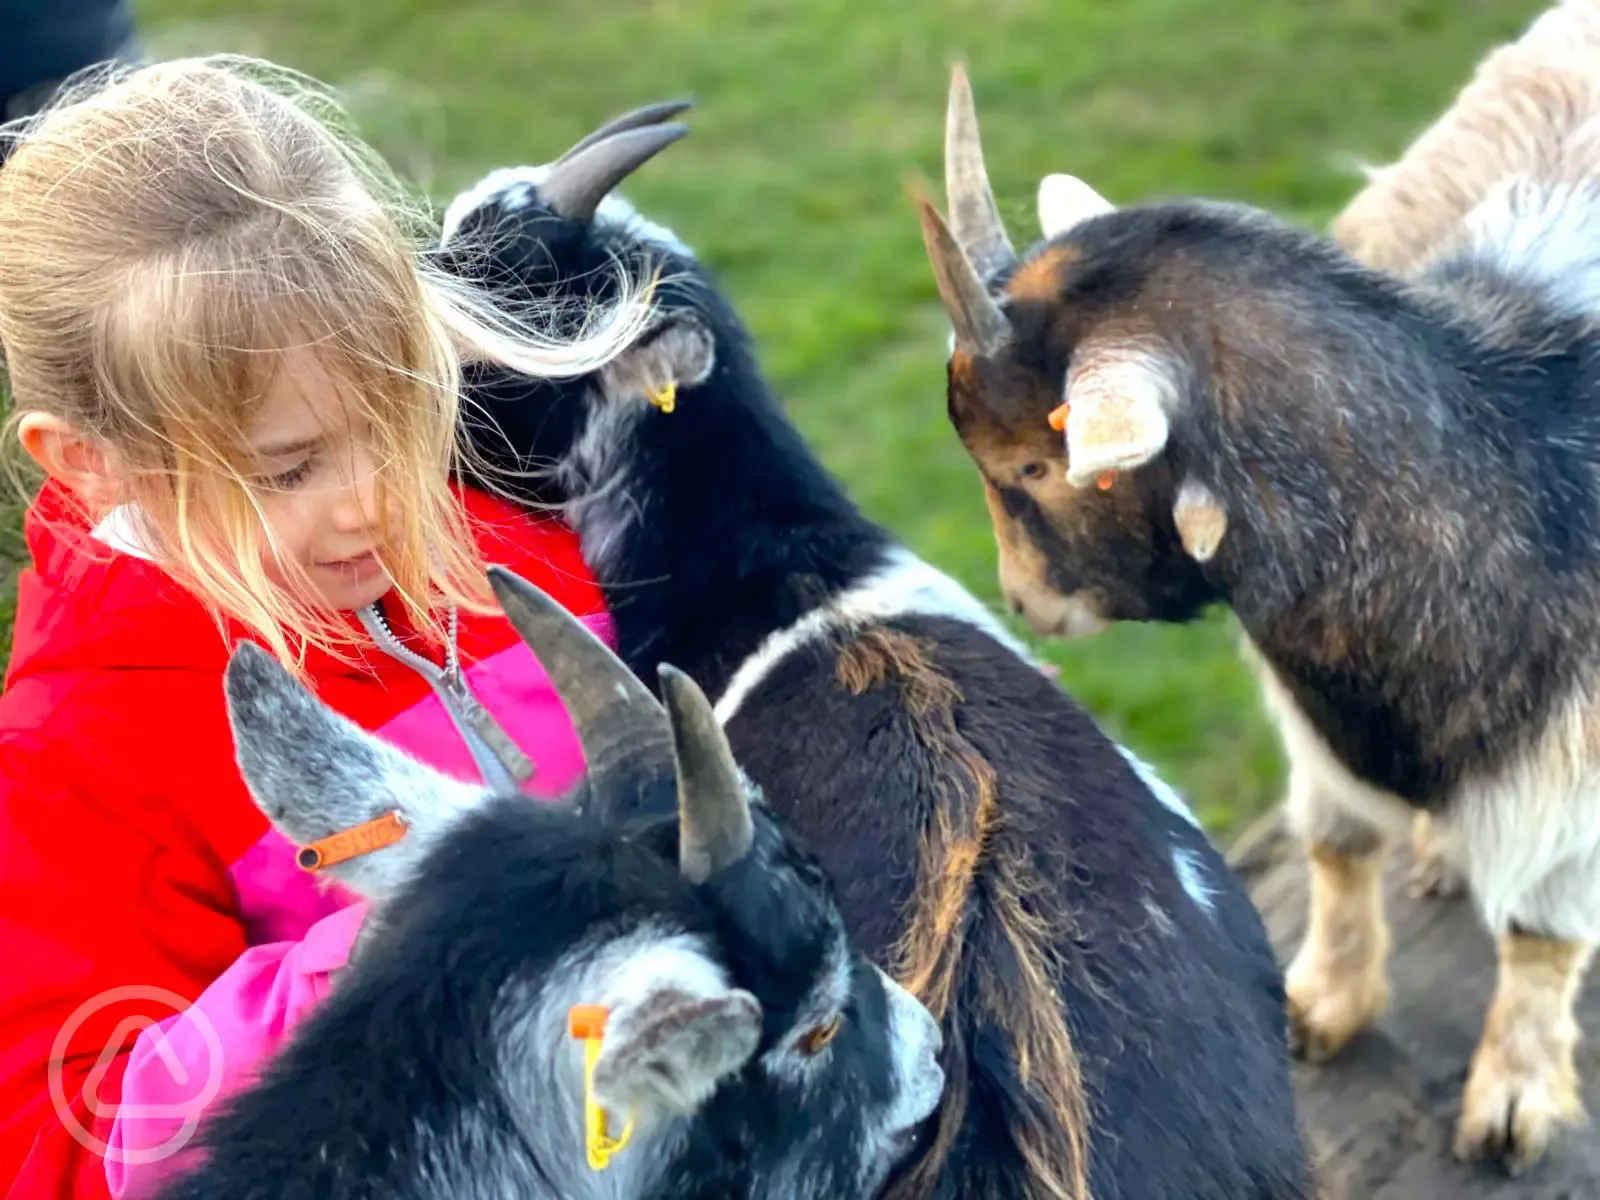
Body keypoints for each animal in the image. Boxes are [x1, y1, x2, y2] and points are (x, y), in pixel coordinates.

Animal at [921, 7, 1600, 1177]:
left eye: (1036, 464)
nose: (1025, 603)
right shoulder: (1312, 708)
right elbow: (1335, 843)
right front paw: (1323, 1003)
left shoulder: (1572, 782)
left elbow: (1542, 936)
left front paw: (1512, 1102)